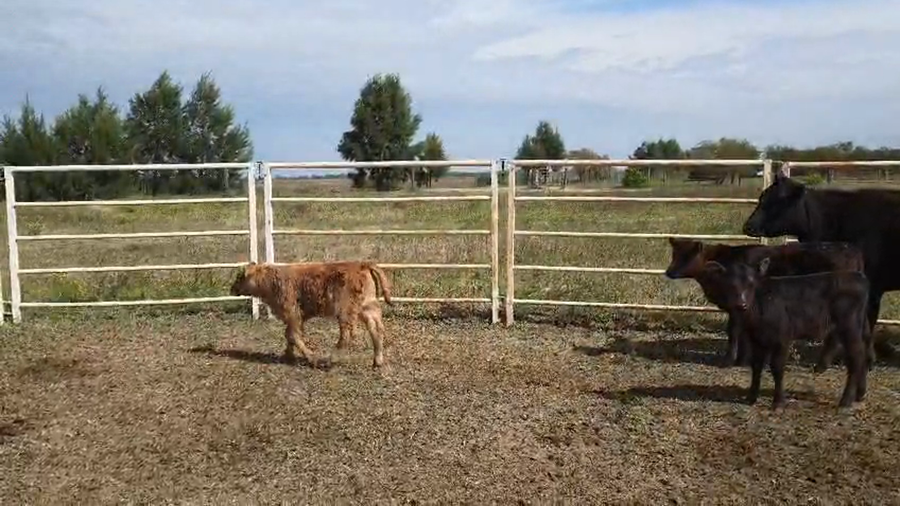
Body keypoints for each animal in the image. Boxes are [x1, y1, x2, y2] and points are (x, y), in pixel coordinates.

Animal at [229, 261, 393, 369]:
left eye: (240, 277)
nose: (232, 289)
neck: (271, 280)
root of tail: (362, 264)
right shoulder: (298, 318)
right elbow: (289, 335)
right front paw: (288, 355)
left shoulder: (293, 314)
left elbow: (293, 335)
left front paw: (310, 357)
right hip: (367, 308)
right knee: (376, 330)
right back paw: (377, 361)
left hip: (345, 312)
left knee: (346, 336)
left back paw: (328, 360)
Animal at [665, 237, 866, 369]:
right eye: (674, 254)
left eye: (687, 256)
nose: (669, 272)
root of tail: (851, 249)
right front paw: (742, 360)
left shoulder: (737, 307)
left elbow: (734, 332)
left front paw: (729, 361)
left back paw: (823, 365)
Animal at [700, 257, 870, 410]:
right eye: (729, 284)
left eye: (751, 284)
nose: (741, 304)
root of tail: (858, 276)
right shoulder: (757, 340)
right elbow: (756, 366)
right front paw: (751, 397)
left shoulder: (782, 339)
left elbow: (776, 368)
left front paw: (778, 402)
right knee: (862, 356)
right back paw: (859, 394)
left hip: (849, 328)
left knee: (856, 358)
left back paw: (846, 400)